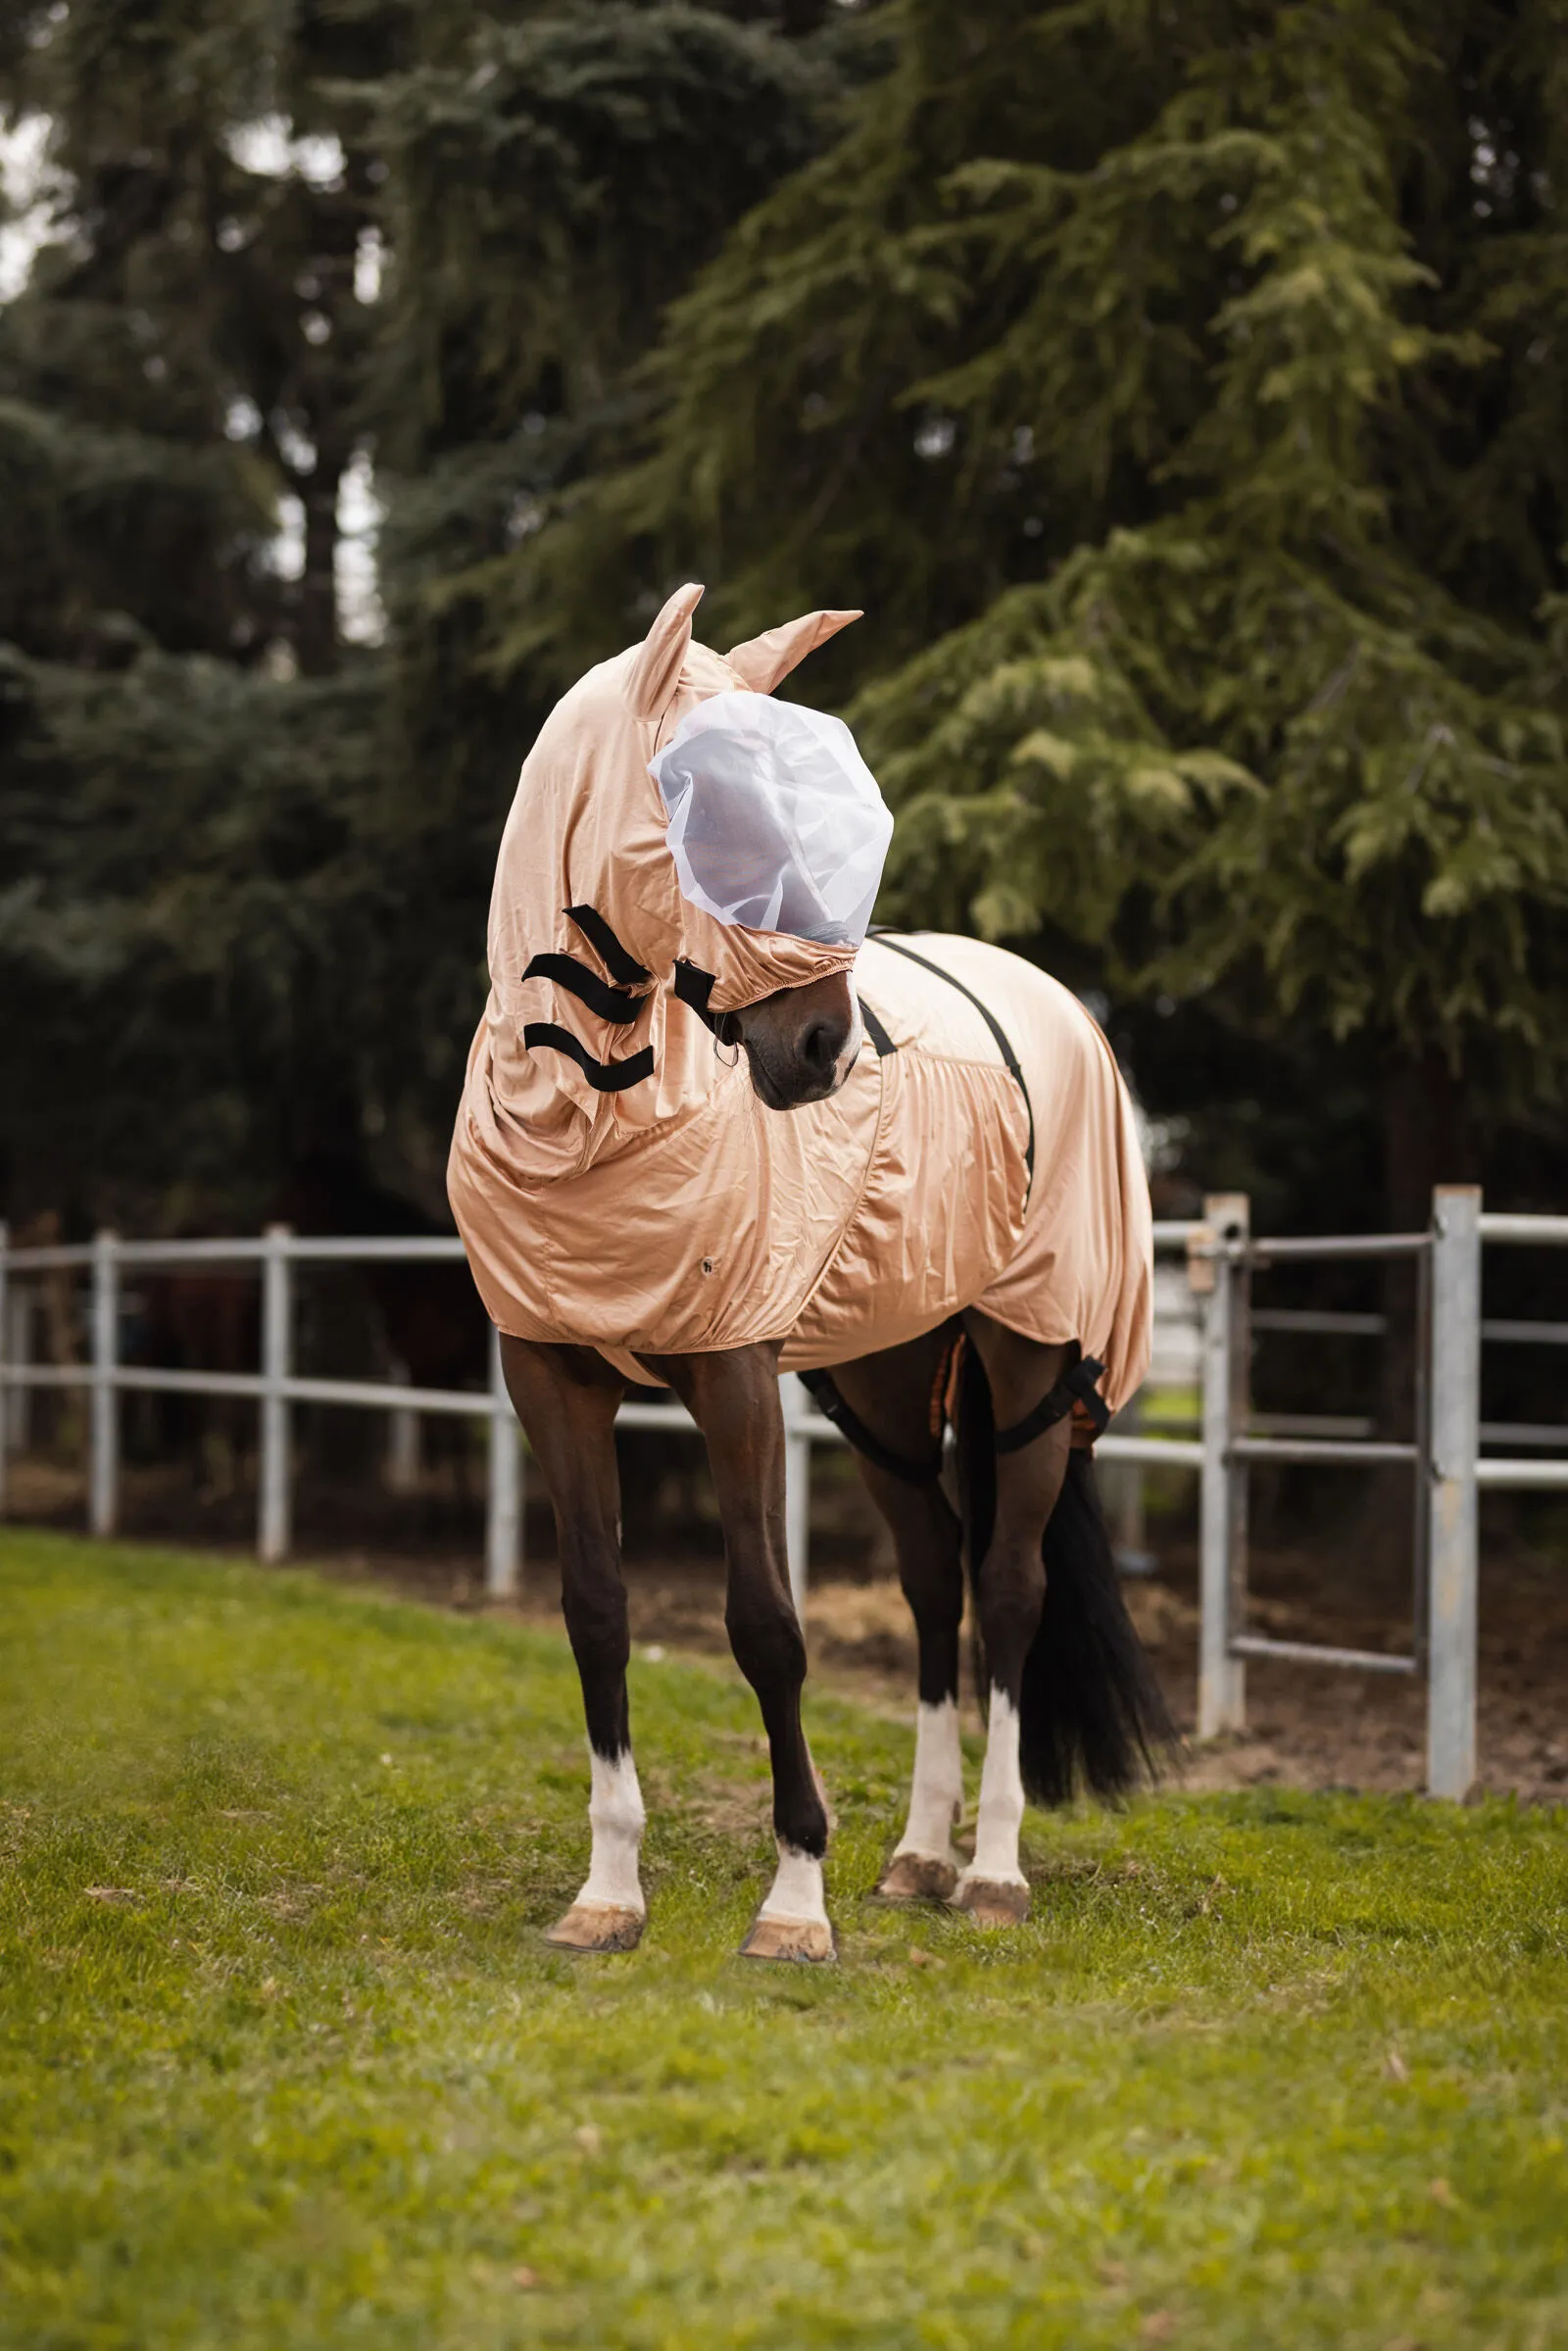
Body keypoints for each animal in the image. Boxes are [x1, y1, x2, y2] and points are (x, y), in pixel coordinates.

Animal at [446, 587, 1170, 1965]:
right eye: (718, 815)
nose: (827, 1044)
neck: (593, 1121)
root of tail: (1054, 999)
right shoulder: (549, 1373)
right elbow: (595, 1609)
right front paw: (607, 1892)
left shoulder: (734, 1378)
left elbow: (766, 1627)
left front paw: (792, 1901)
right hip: (882, 1381)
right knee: (934, 1578)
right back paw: (916, 1858)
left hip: (1031, 1354)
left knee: (1009, 1589)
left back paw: (991, 1872)